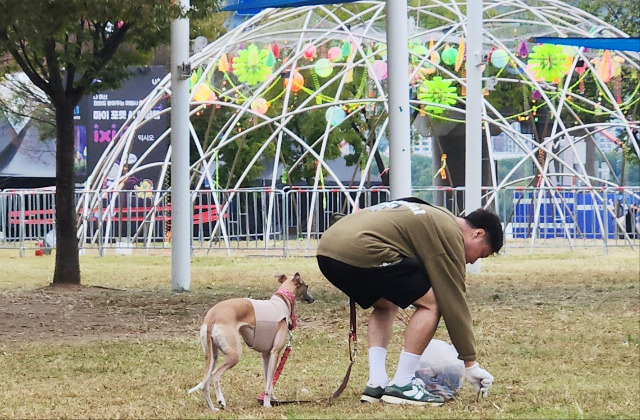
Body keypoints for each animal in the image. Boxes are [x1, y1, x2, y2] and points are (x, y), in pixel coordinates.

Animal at [189, 272, 314, 410]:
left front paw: (273, 399)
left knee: (205, 384)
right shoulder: (275, 352)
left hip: (211, 355)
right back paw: (221, 401)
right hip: (234, 354)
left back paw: (212, 408)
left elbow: (269, 381)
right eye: (306, 286)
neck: (281, 301)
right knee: (215, 375)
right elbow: (269, 384)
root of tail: (212, 316)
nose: (312, 299)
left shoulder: (266, 355)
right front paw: (267, 404)